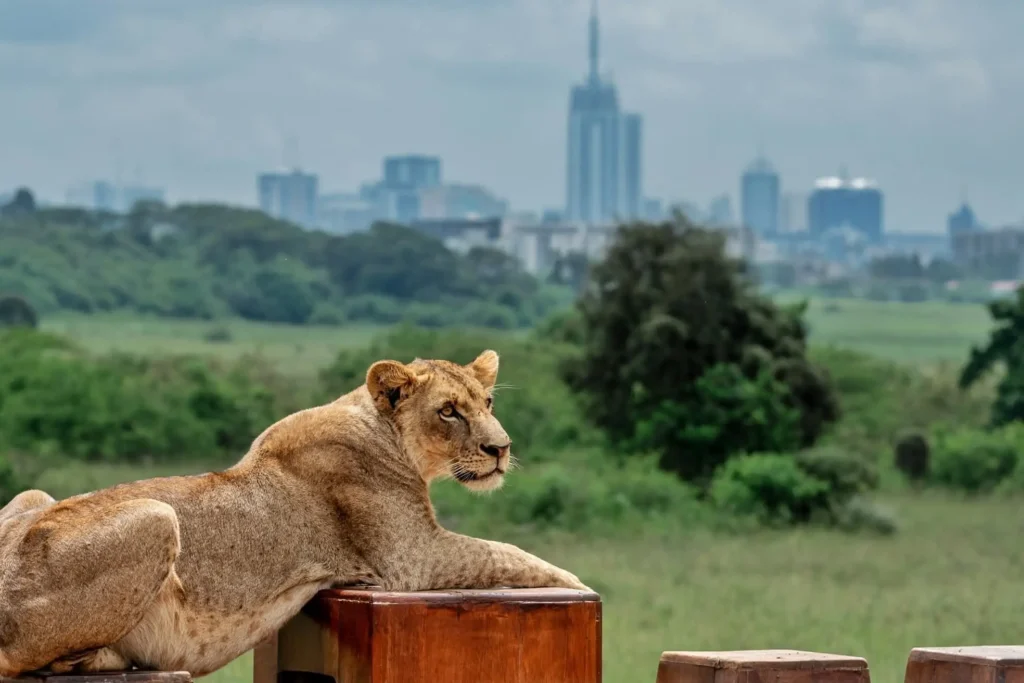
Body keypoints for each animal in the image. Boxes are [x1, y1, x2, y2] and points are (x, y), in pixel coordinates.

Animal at [0, 350, 589, 678]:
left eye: (488, 403)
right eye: (448, 411)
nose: (501, 449)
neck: (384, 432)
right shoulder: (412, 558)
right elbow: (508, 553)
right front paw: (578, 585)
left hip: (33, 495)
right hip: (157, 515)